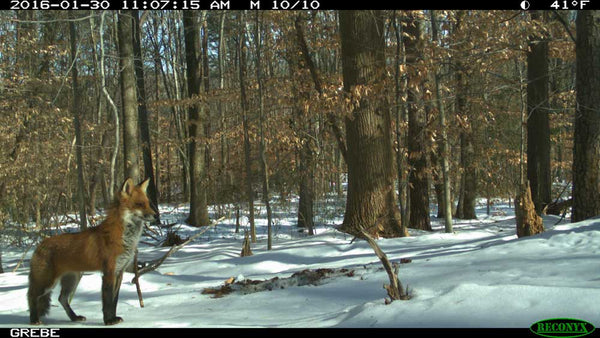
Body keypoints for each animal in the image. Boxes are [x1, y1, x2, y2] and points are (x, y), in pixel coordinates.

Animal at [28, 178, 156, 326]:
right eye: (139, 204)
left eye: (148, 203)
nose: (156, 216)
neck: (125, 238)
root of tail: (39, 245)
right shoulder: (108, 272)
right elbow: (107, 301)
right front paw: (108, 321)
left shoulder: (119, 272)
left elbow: (115, 301)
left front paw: (113, 318)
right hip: (47, 282)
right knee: (32, 296)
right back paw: (34, 320)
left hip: (72, 279)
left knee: (62, 299)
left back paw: (74, 317)